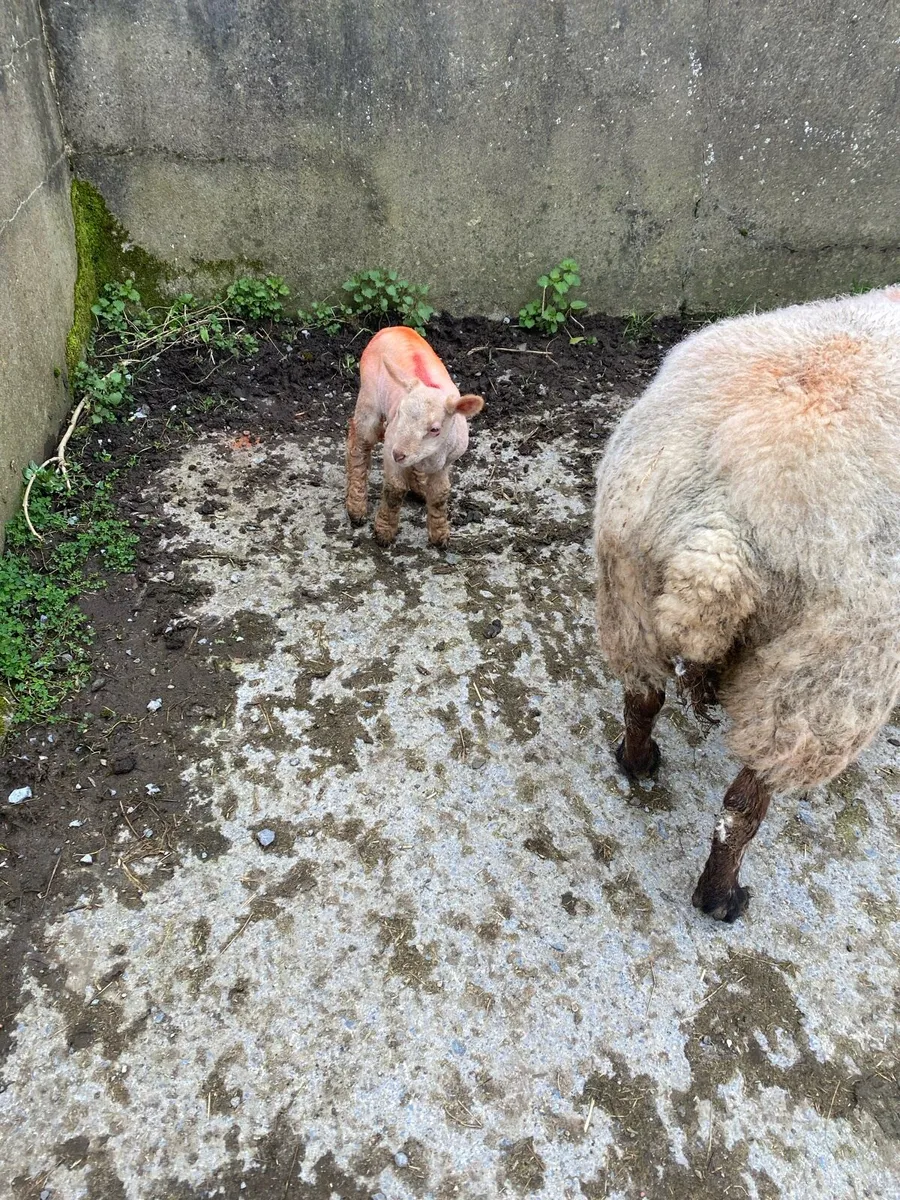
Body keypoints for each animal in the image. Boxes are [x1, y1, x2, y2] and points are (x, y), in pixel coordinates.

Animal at [345, 326, 484, 547]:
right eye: (400, 413)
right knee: (360, 441)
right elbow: (395, 490)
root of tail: (393, 328)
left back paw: (419, 486)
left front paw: (439, 535)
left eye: (435, 429)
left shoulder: (446, 462)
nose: (399, 454)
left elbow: (440, 494)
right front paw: (384, 532)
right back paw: (356, 506)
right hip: (369, 396)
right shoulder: (390, 449)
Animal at [593, 285, 900, 921]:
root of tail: (724, 521)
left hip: (627, 590)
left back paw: (639, 759)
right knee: (740, 810)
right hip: (824, 682)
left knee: (642, 695)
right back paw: (721, 898)